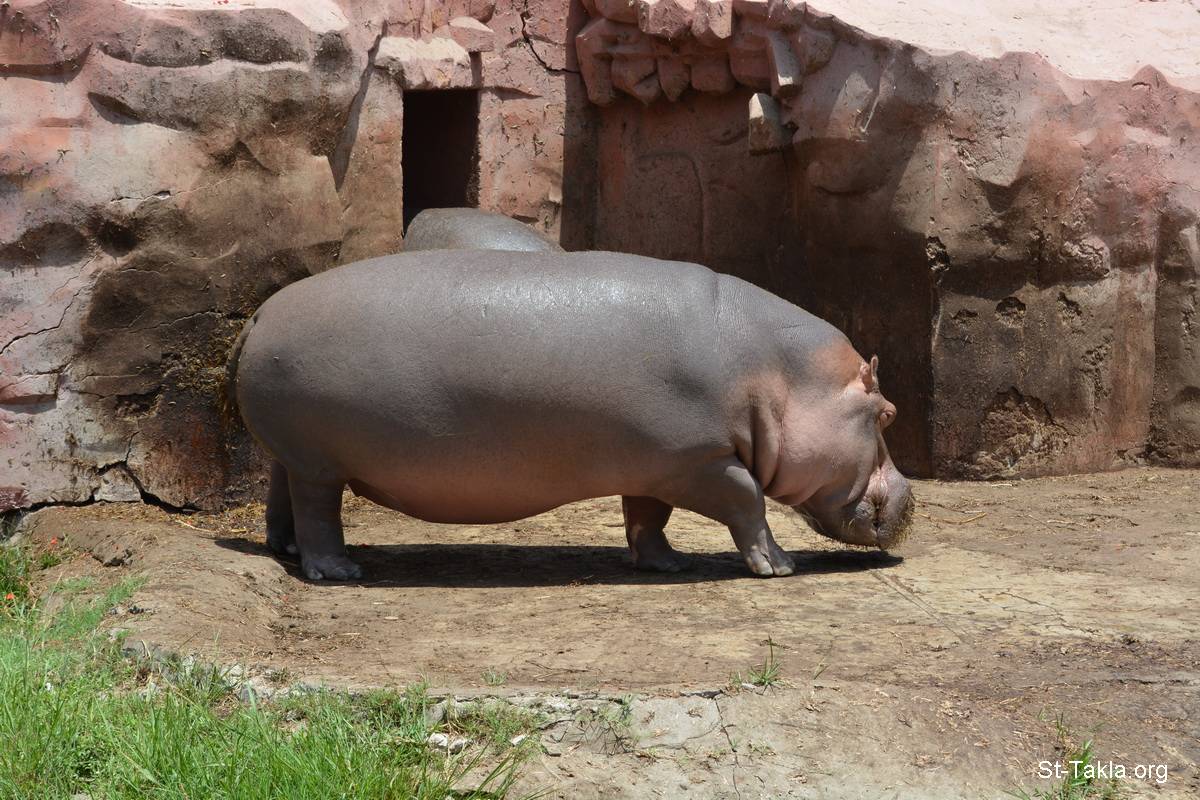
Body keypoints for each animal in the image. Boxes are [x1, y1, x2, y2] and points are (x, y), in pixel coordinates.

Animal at [229, 250, 913, 581]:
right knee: (319, 512)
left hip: (294, 453)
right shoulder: (704, 459)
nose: (911, 499)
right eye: (887, 413)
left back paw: (285, 550)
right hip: (319, 460)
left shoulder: (658, 463)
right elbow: (748, 503)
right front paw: (779, 566)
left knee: (282, 495)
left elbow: (647, 517)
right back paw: (338, 572)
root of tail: (260, 314)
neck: (780, 376)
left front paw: (667, 564)